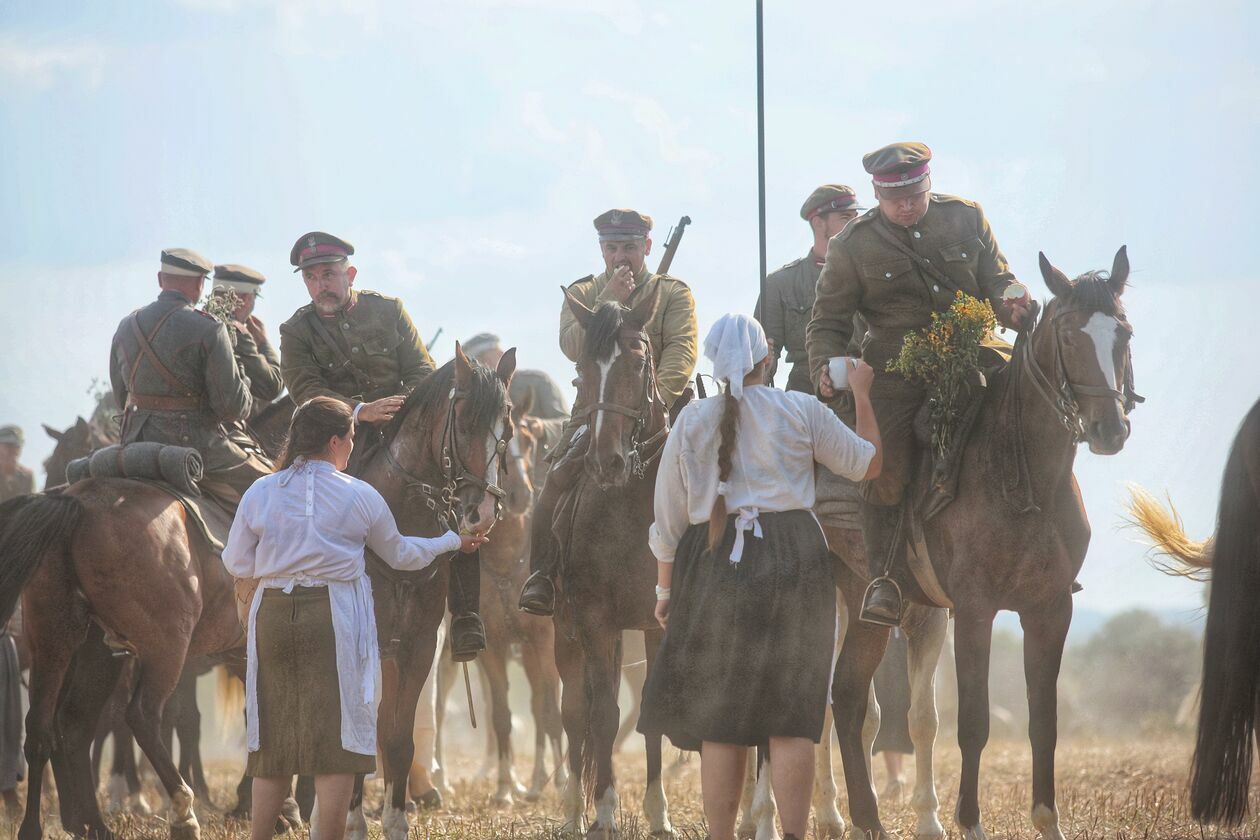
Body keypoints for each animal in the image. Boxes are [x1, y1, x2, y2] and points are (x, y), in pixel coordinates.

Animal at [340, 342, 516, 840]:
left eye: (508, 424)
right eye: (463, 420)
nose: (481, 515)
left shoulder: (417, 647)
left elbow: (398, 740)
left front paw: (396, 818)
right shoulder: (375, 645)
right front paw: (354, 821)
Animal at [826, 248, 1144, 840]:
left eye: (1124, 333)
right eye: (1068, 335)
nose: (1109, 429)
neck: (1023, 477)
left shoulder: (1050, 610)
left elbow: (1044, 723)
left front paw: (1047, 820)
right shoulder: (975, 610)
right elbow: (972, 722)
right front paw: (968, 822)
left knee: (850, 698)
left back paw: (867, 820)